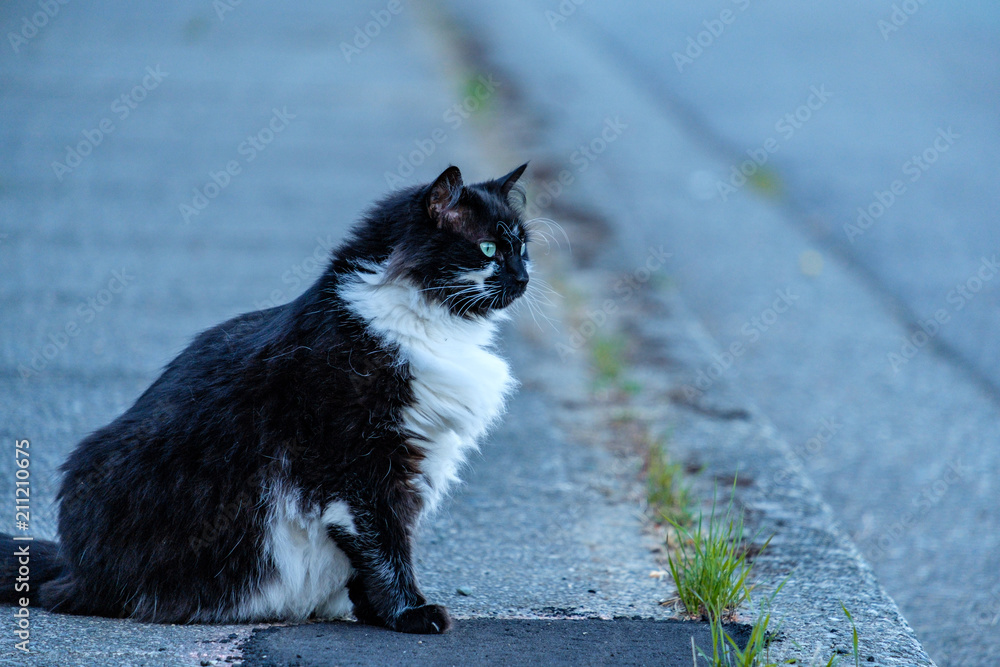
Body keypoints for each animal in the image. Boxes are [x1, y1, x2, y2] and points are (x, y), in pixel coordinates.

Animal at [1, 164, 532, 636]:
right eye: (488, 249)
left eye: (524, 248)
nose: (524, 278)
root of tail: (69, 568)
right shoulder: (360, 469)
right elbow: (385, 550)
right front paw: (410, 614)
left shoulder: (409, 464)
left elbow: (370, 560)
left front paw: (376, 614)